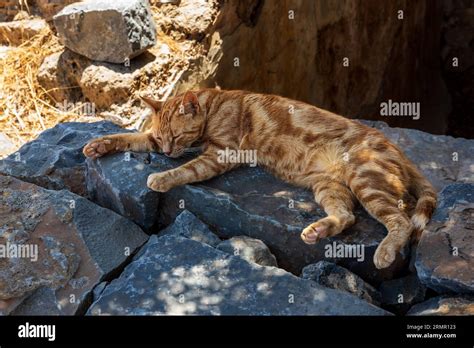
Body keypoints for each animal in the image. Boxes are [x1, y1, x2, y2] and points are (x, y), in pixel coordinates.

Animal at [81, 89, 436, 270]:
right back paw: (318, 230)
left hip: (366, 181)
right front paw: (100, 144)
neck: (214, 105)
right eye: (163, 137)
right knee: (347, 215)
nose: (168, 151)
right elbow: (131, 137)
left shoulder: (222, 154)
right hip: (327, 185)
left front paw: (161, 177)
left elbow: (186, 169)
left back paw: (384, 253)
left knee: (401, 220)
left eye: (178, 135)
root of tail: (396, 148)